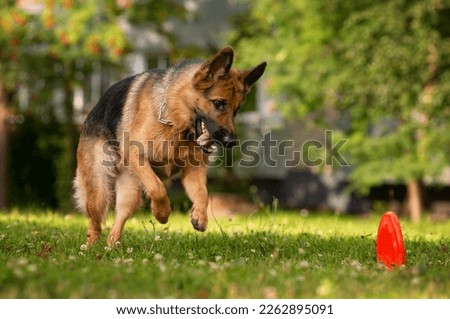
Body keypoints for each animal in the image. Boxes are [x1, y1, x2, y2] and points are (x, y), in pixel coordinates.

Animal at [73, 46, 264, 246]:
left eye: (237, 109)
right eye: (218, 103)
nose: (231, 141)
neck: (174, 117)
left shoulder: (193, 172)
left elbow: (202, 193)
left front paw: (200, 216)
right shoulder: (137, 156)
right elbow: (157, 188)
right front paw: (162, 213)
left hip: (130, 190)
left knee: (121, 215)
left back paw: (112, 244)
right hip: (99, 188)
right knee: (95, 220)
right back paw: (90, 245)